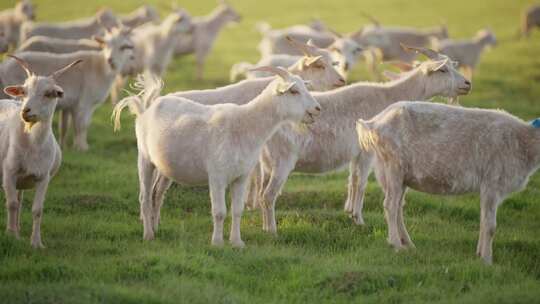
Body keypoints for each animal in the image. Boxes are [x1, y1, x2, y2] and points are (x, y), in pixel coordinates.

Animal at [1, 25, 134, 150]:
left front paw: (64, 146)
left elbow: (64, 127)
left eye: (123, 47)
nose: (110, 60)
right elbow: (82, 125)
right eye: (105, 45)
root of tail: (4, 66)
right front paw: (82, 148)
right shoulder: (84, 103)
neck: (101, 68)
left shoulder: (68, 106)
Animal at [1, 55, 80, 248]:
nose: (25, 111)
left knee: (20, 200)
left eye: (49, 93)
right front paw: (11, 237)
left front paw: (36, 242)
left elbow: (37, 210)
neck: (32, 144)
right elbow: (11, 204)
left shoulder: (43, 178)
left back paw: (17, 228)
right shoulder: (9, 172)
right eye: (24, 91)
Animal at [111, 67, 318, 246]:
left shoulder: (241, 176)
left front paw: (237, 243)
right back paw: (148, 235)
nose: (317, 109)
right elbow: (219, 212)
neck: (245, 125)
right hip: (145, 159)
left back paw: (155, 228)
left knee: (157, 194)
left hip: (166, 167)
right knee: (145, 197)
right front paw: (217, 243)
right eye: (294, 91)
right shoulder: (217, 175)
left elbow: (237, 210)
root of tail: (145, 109)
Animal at [252, 46, 468, 234]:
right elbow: (362, 182)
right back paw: (272, 231)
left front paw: (350, 213)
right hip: (283, 161)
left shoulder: (357, 154)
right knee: (268, 195)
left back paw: (264, 227)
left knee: (262, 193)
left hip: (268, 165)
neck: (389, 94)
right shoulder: (367, 152)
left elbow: (353, 180)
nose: (467, 84)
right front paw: (359, 219)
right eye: (443, 70)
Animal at [358, 101, 540, 264]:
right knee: (390, 205)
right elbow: (490, 226)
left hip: (396, 174)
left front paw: (479, 255)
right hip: (394, 165)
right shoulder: (492, 182)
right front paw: (487, 261)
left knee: (398, 207)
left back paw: (408, 244)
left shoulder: (488, 187)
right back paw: (397, 245)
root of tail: (374, 122)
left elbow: (483, 221)